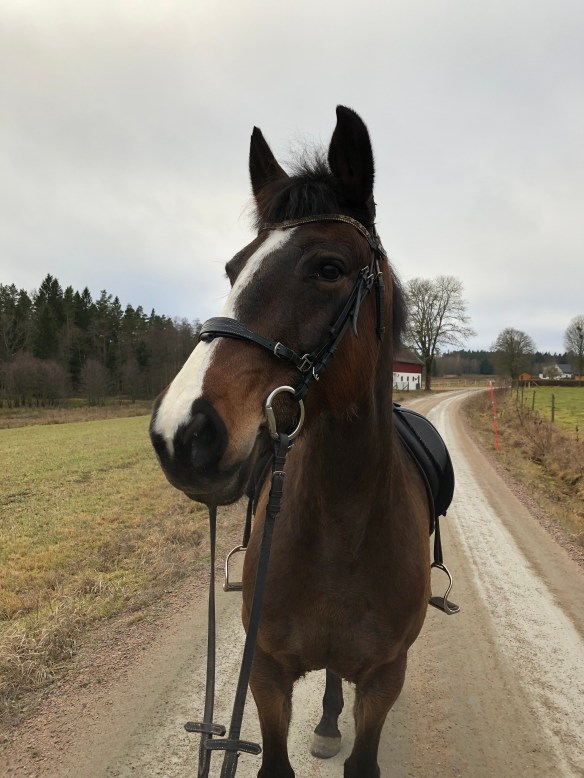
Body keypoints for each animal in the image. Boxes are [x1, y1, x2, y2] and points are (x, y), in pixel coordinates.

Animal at [150, 106, 431, 778]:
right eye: (234, 268)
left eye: (328, 268)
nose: (181, 432)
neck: (343, 525)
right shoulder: (266, 672)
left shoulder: (385, 679)